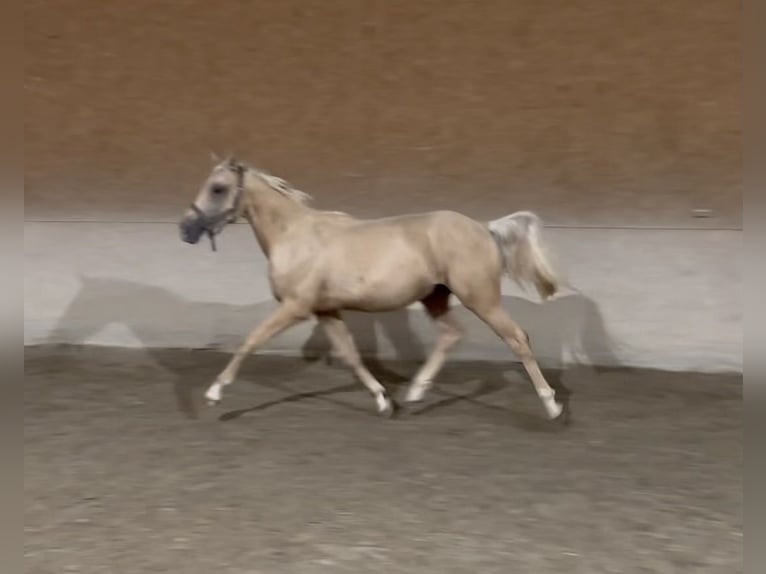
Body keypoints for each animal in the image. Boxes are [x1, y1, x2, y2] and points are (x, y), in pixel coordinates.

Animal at [178, 158, 564, 418]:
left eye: (217, 188)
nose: (186, 229)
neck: (295, 236)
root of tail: (485, 228)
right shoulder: (326, 310)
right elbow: (350, 354)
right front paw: (382, 399)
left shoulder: (295, 307)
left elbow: (251, 340)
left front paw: (214, 393)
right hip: (436, 296)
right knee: (452, 334)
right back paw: (415, 393)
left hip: (481, 299)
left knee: (517, 339)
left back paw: (551, 405)